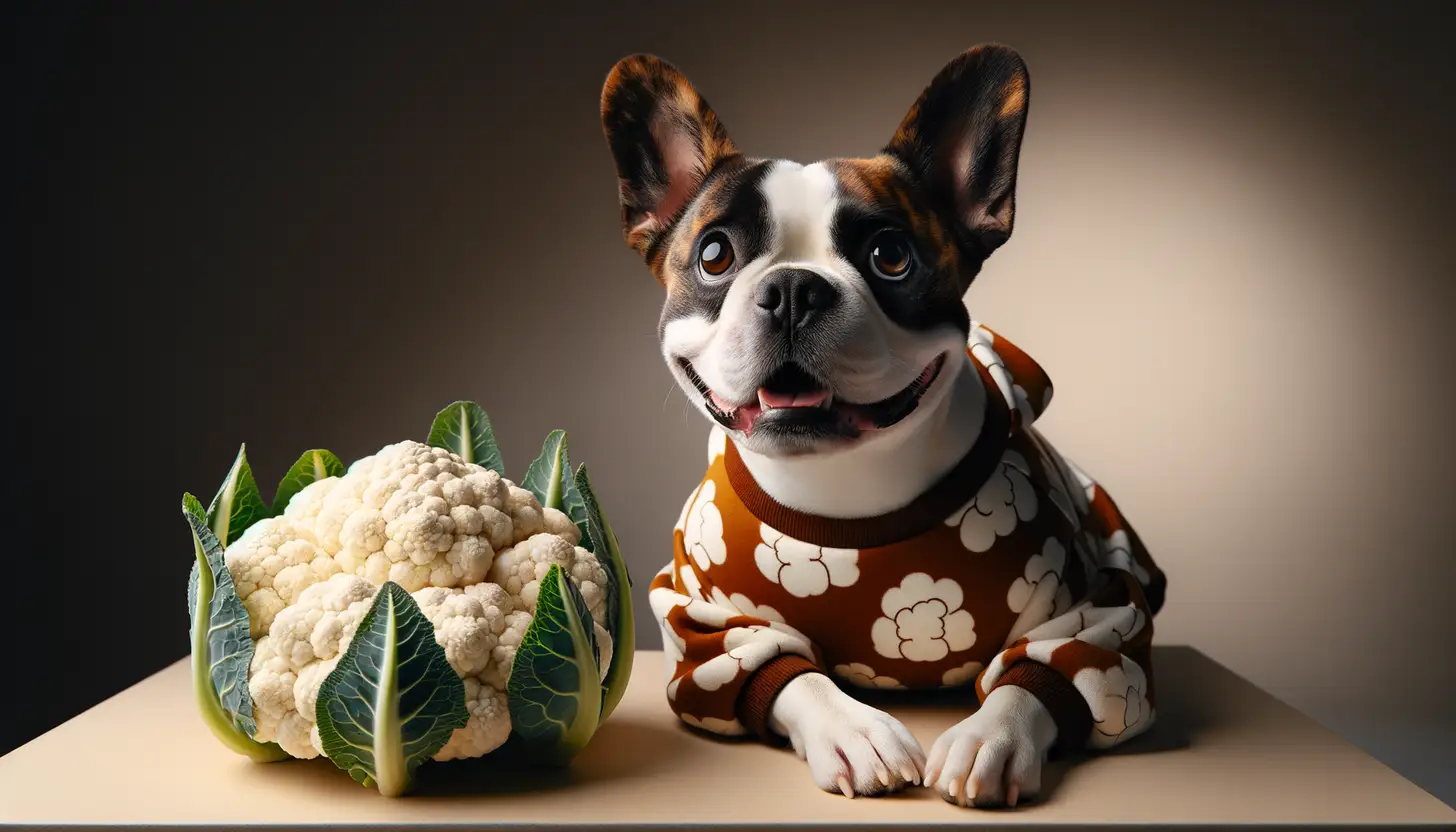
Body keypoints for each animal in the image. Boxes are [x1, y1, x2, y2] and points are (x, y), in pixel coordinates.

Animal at [596, 43, 1164, 810]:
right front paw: (853, 731)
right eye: (714, 255)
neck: (843, 487)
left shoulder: (1097, 610)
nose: (794, 288)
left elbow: (1054, 668)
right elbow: (775, 668)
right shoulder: (704, 623)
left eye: (890, 257)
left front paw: (991, 738)